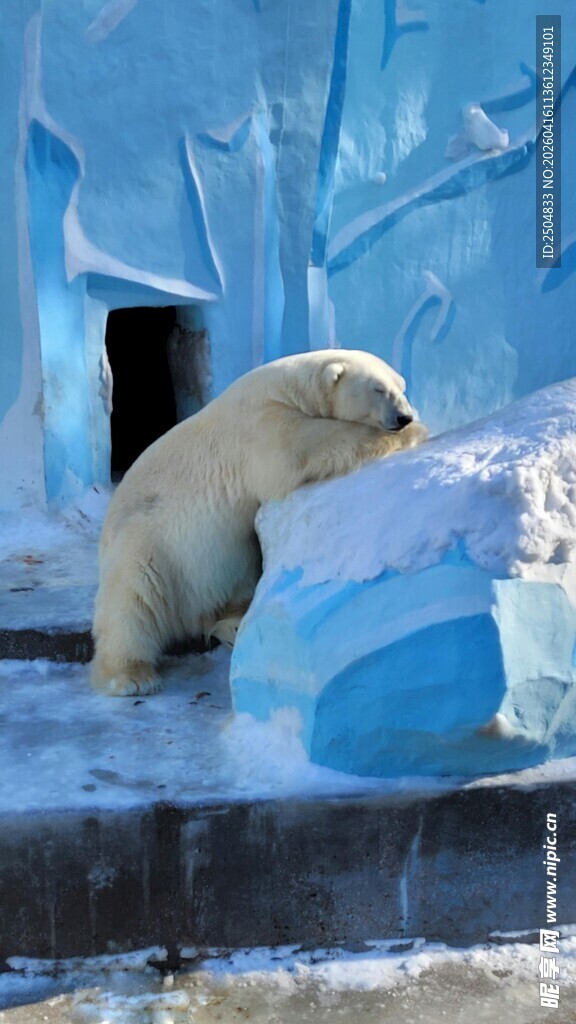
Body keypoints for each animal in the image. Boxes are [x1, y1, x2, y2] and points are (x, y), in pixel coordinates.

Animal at [91, 349, 426, 696]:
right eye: (378, 388)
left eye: (401, 386)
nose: (404, 417)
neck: (290, 387)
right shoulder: (262, 424)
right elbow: (305, 449)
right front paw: (415, 433)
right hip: (151, 544)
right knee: (131, 601)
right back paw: (132, 677)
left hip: (223, 562)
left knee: (235, 584)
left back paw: (234, 624)